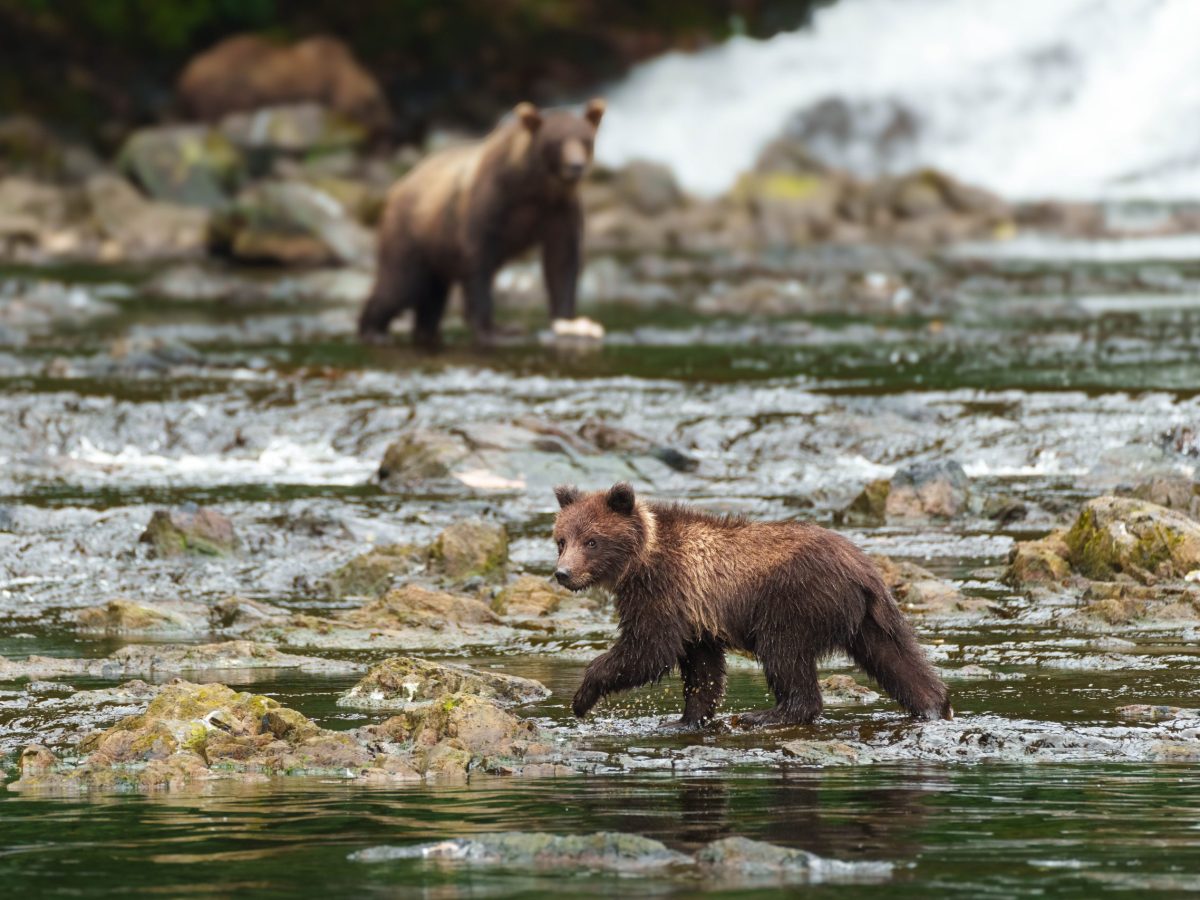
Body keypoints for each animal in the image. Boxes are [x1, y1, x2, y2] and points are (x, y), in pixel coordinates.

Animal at [357, 99, 605, 347]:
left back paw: (427, 333)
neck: (532, 186)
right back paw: (373, 330)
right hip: (412, 233)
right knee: (400, 285)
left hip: (436, 253)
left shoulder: (558, 210)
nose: (576, 166)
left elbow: (561, 261)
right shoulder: (490, 203)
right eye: (556, 141)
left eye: (586, 140)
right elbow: (478, 261)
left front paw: (567, 323)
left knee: (432, 295)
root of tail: (398, 186)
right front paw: (495, 329)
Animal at [552, 482, 953, 727]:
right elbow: (703, 669)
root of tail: (862, 569)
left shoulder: (664, 591)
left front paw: (582, 697)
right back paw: (934, 704)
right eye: (561, 539)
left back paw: (768, 714)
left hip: (793, 600)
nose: (563, 573)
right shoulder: (697, 615)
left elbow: (648, 649)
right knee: (896, 657)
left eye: (592, 541)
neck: (640, 559)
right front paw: (685, 718)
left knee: (784, 653)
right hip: (867, 618)